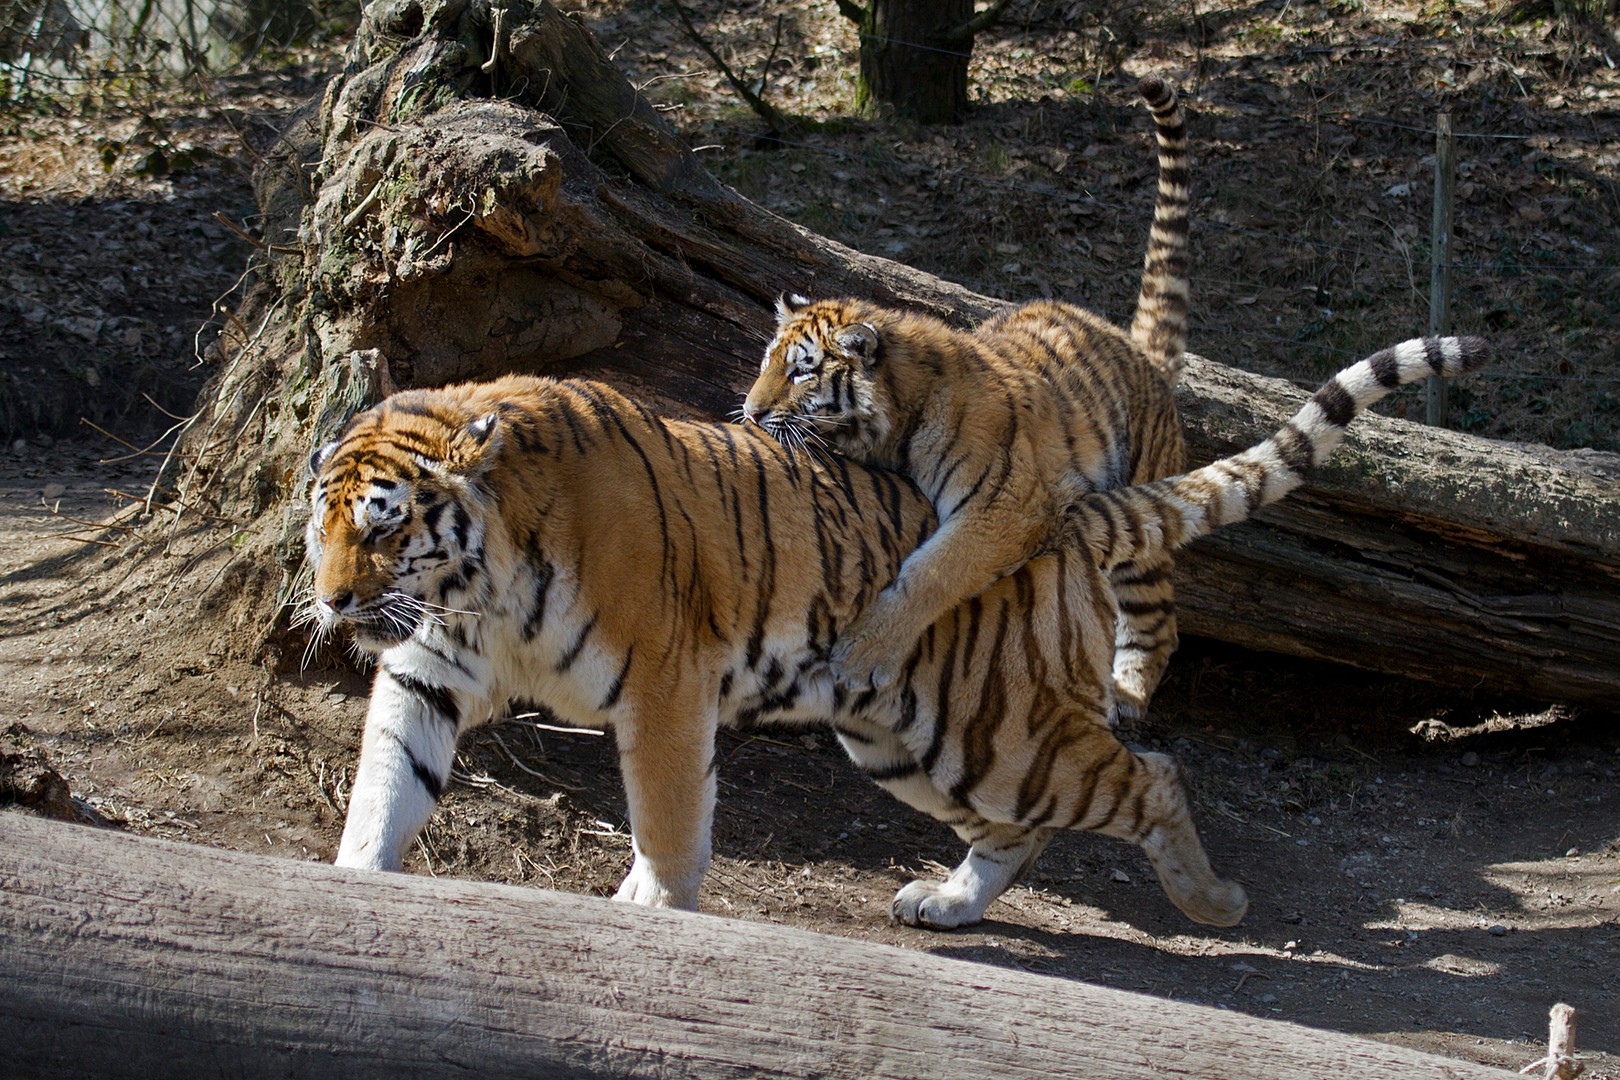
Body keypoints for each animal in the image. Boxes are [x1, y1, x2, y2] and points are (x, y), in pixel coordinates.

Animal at [304, 335, 1486, 930]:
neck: (478, 580)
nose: (332, 602)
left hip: (998, 733)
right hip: (914, 741)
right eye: (320, 522)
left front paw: (655, 907)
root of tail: (1064, 518)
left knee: (1151, 777)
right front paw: (349, 881)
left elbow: (670, 824)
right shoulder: (428, 671)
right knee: (1022, 829)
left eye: (385, 523)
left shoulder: (665, 687)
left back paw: (1215, 905)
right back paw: (951, 903)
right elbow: (384, 786)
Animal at [741, 75, 1192, 718]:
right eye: (767, 364)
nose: (750, 412)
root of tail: (1139, 351)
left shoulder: (1007, 506)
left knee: (1159, 618)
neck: (901, 413)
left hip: (1143, 520)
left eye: (803, 373)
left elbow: (934, 572)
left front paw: (861, 656)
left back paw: (1127, 694)